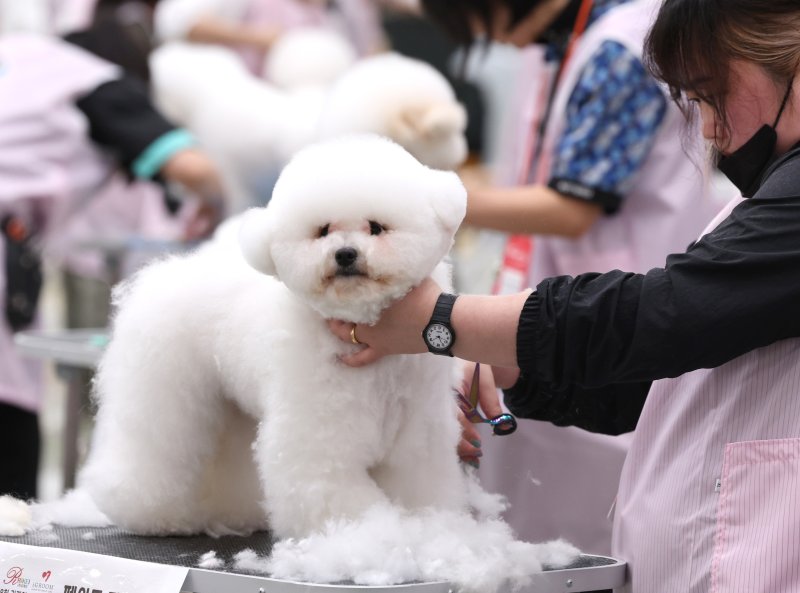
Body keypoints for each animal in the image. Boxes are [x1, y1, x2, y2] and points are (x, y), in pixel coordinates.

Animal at [77, 136, 468, 540]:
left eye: (377, 227)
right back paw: (151, 514)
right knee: (156, 452)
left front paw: (426, 524)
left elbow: (417, 480)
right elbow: (333, 489)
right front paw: (358, 531)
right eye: (322, 231)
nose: (345, 254)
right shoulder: (321, 432)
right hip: (167, 396)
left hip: (230, 409)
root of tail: (157, 276)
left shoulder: (418, 435)